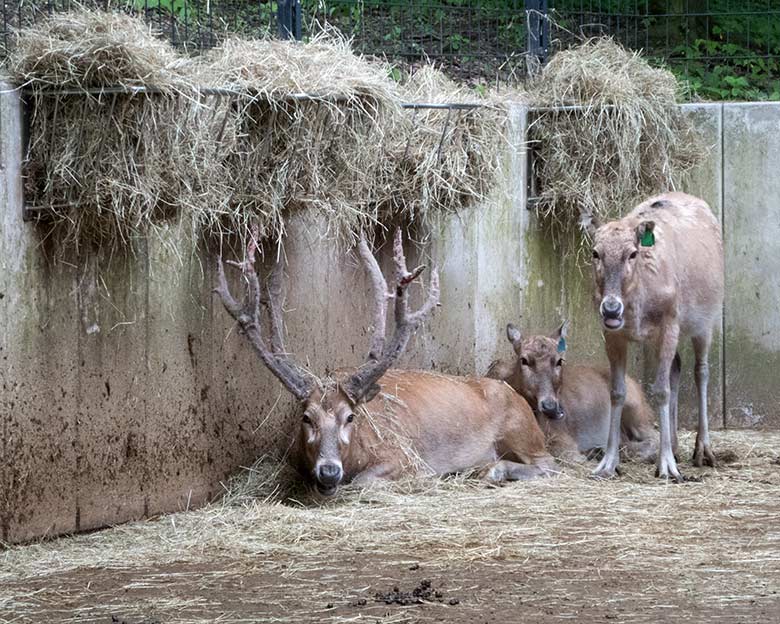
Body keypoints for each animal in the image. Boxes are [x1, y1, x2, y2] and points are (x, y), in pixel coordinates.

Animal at [213, 227, 556, 494]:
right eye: (306, 418)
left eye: (350, 417)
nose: (329, 471)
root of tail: (517, 396)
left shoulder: (402, 455)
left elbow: (365, 481)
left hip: (521, 431)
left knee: (550, 465)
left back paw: (490, 470)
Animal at [488, 322, 660, 464]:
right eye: (524, 360)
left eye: (559, 360)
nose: (551, 407)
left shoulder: (563, 439)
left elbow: (569, 456)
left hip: (635, 411)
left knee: (656, 437)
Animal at [592, 193, 724, 480]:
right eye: (595, 253)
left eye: (632, 253)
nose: (611, 308)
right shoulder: (613, 334)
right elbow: (617, 391)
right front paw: (607, 463)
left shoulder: (670, 321)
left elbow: (661, 390)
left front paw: (667, 467)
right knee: (677, 367)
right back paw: (673, 445)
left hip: (705, 318)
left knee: (701, 370)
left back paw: (703, 450)